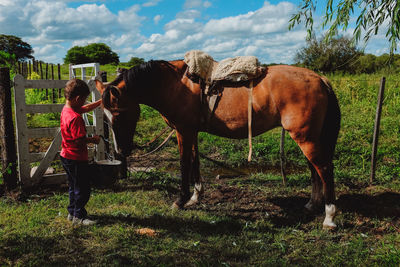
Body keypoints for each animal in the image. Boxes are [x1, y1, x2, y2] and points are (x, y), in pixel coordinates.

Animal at [94, 59, 340, 229]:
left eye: (119, 114)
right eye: (105, 116)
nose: (121, 150)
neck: (174, 85)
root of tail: (319, 79)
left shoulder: (183, 131)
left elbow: (184, 164)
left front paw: (180, 200)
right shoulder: (192, 132)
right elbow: (195, 163)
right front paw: (195, 198)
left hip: (305, 137)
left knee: (324, 169)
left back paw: (329, 217)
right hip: (308, 137)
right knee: (315, 169)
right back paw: (312, 205)